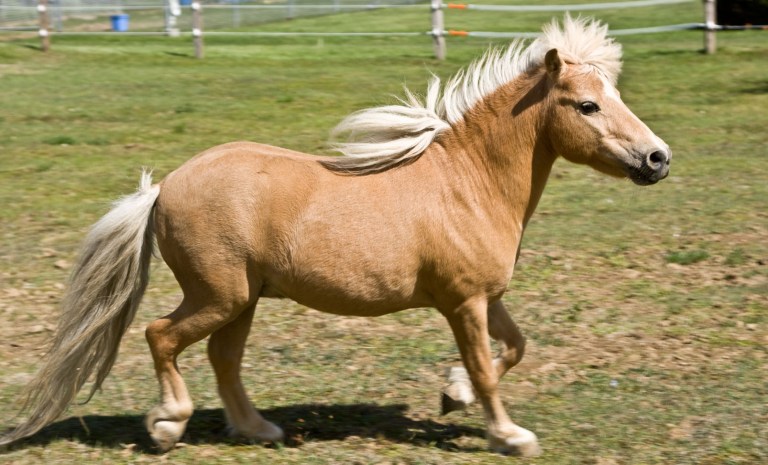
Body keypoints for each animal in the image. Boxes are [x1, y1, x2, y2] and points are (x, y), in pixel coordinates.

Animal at [1, 16, 670, 457]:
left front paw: (451, 396)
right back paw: (167, 424)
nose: (658, 158)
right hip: (218, 294)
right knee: (161, 336)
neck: (467, 184)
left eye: (613, 95)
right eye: (586, 106)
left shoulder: (486, 297)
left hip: (242, 299)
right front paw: (509, 435)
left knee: (223, 357)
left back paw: (259, 430)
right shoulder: (463, 302)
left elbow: (514, 349)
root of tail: (164, 187)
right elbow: (485, 366)